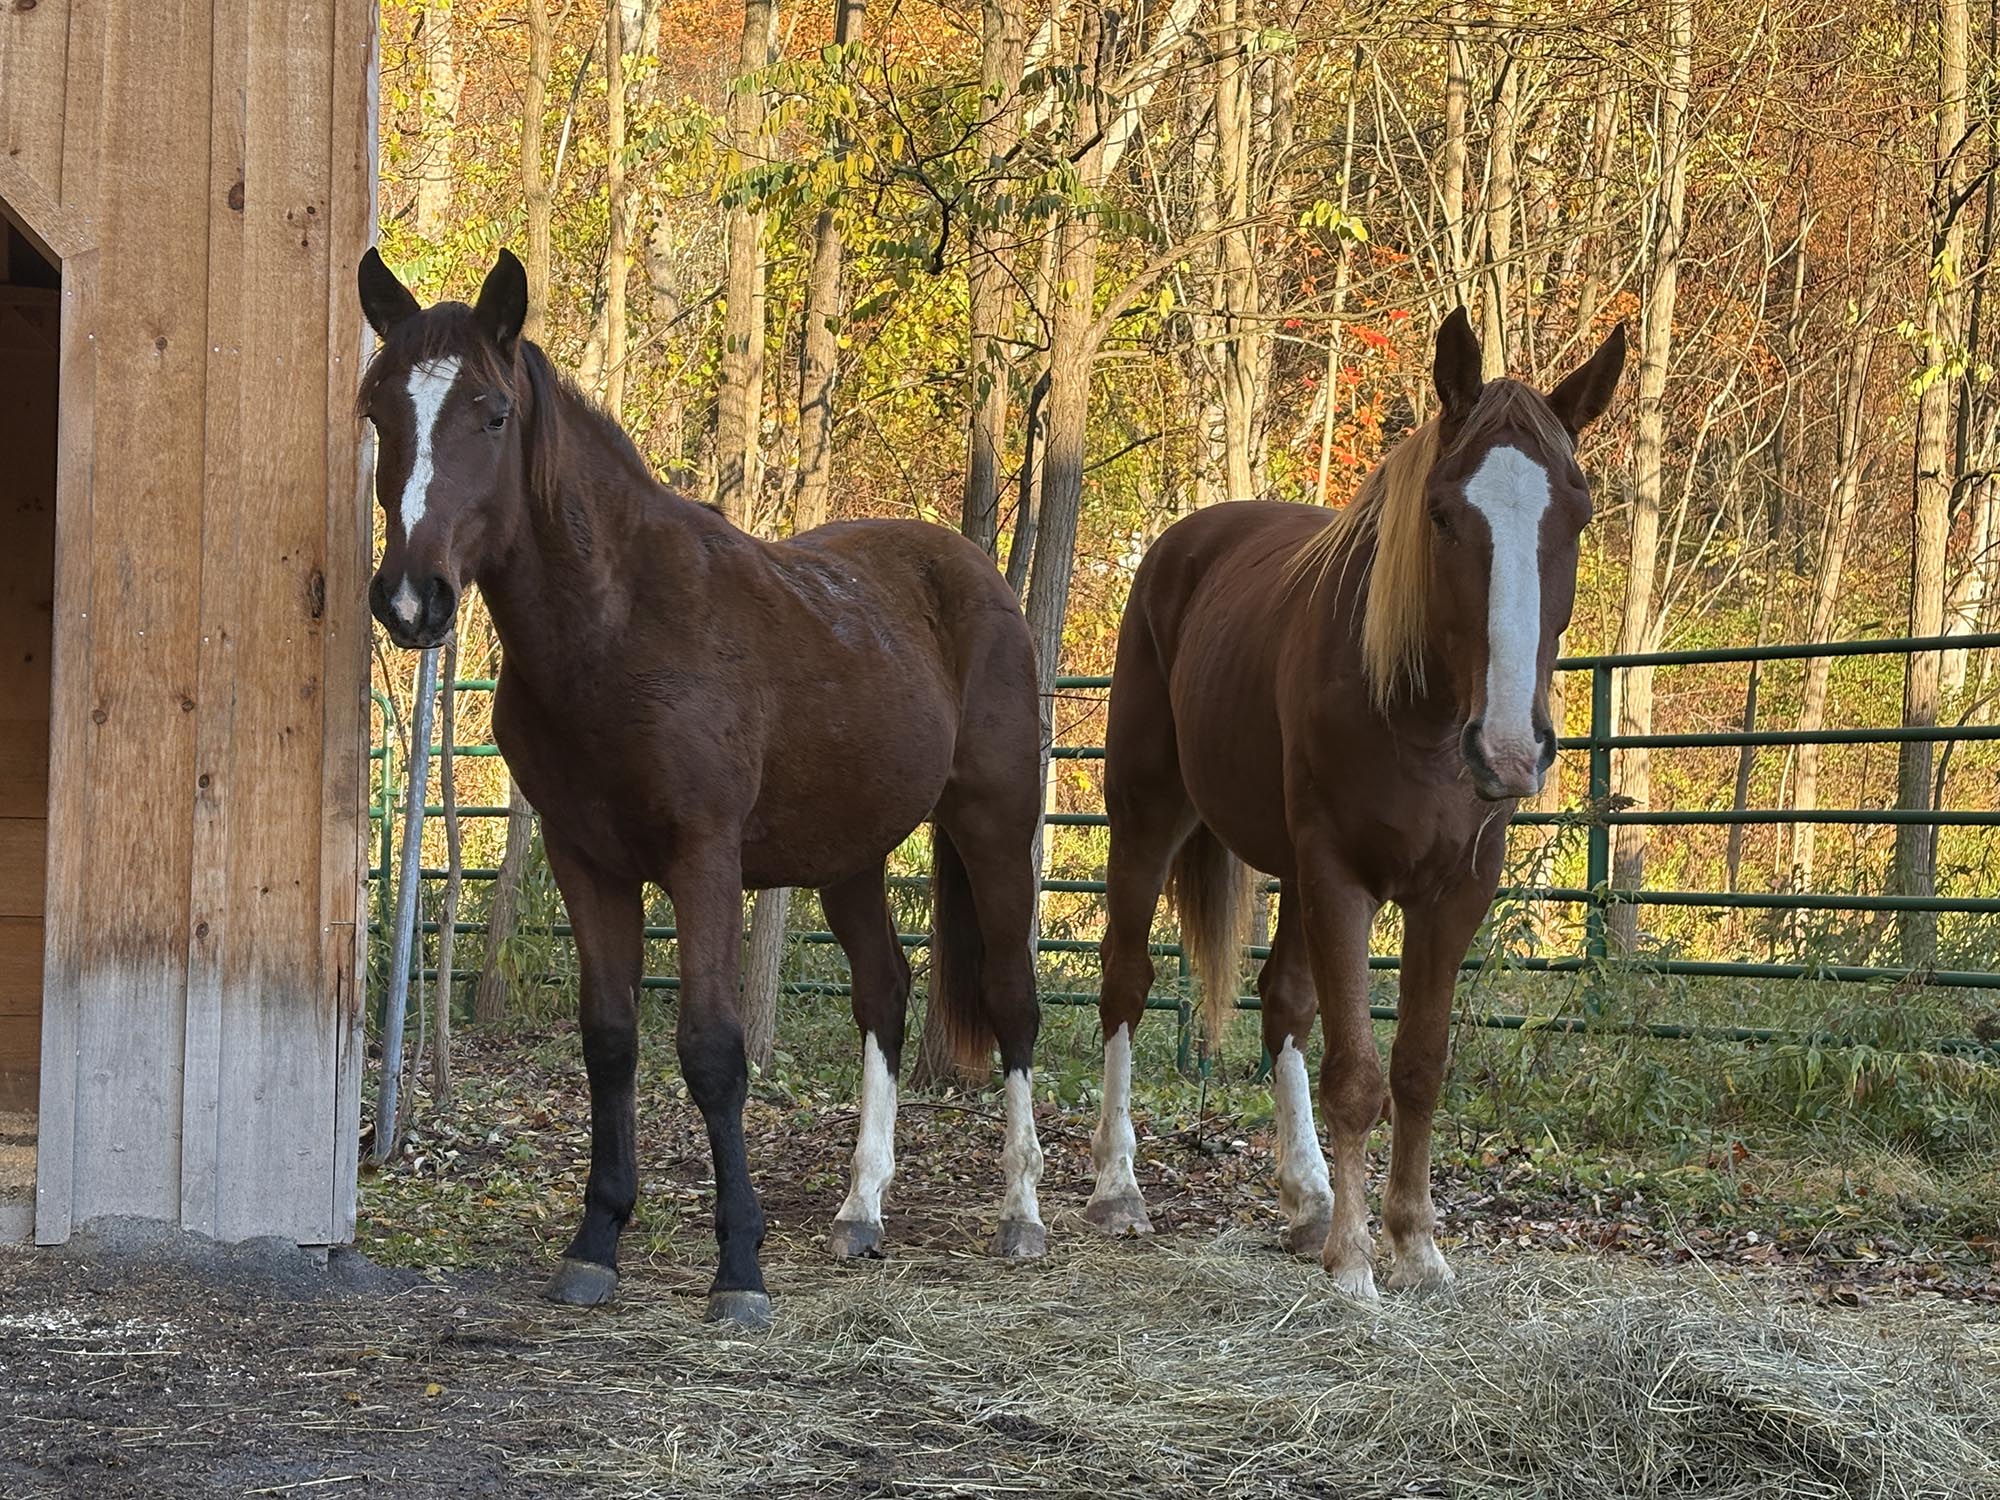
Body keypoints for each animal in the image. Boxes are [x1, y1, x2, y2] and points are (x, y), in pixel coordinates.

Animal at [356, 247, 1049, 1327]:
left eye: (492, 413)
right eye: (380, 408)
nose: (409, 598)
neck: (619, 626)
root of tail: (974, 574)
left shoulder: (704, 859)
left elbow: (713, 1051)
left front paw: (740, 1268)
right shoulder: (587, 861)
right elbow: (608, 1042)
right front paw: (595, 1242)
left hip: (992, 826)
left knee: (1013, 998)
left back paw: (1028, 1213)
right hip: (848, 858)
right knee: (883, 994)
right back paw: (860, 1210)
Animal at [1084, 309, 1626, 1298]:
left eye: (1578, 514)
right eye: (1444, 517)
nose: (1510, 749)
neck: (1418, 714)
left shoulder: (1454, 894)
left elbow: (1416, 1066)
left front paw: (1413, 1243)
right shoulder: (1341, 877)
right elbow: (1356, 1077)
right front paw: (1354, 1264)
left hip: (1290, 871)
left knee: (1284, 1002)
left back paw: (1305, 1199)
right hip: (1147, 820)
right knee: (1126, 982)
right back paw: (1119, 1189)